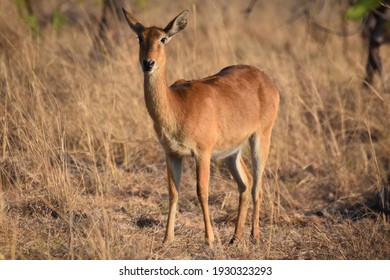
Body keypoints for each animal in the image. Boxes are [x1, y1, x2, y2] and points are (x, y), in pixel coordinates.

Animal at [123, 7, 278, 246]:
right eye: (140, 37)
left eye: (163, 38)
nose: (148, 63)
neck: (178, 106)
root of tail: (267, 80)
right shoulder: (172, 153)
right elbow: (173, 191)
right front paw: (167, 239)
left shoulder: (202, 153)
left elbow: (201, 191)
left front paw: (210, 239)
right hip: (232, 151)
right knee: (245, 183)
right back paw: (235, 238)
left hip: (261, 138)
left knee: (257, 187)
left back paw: (255, 236)